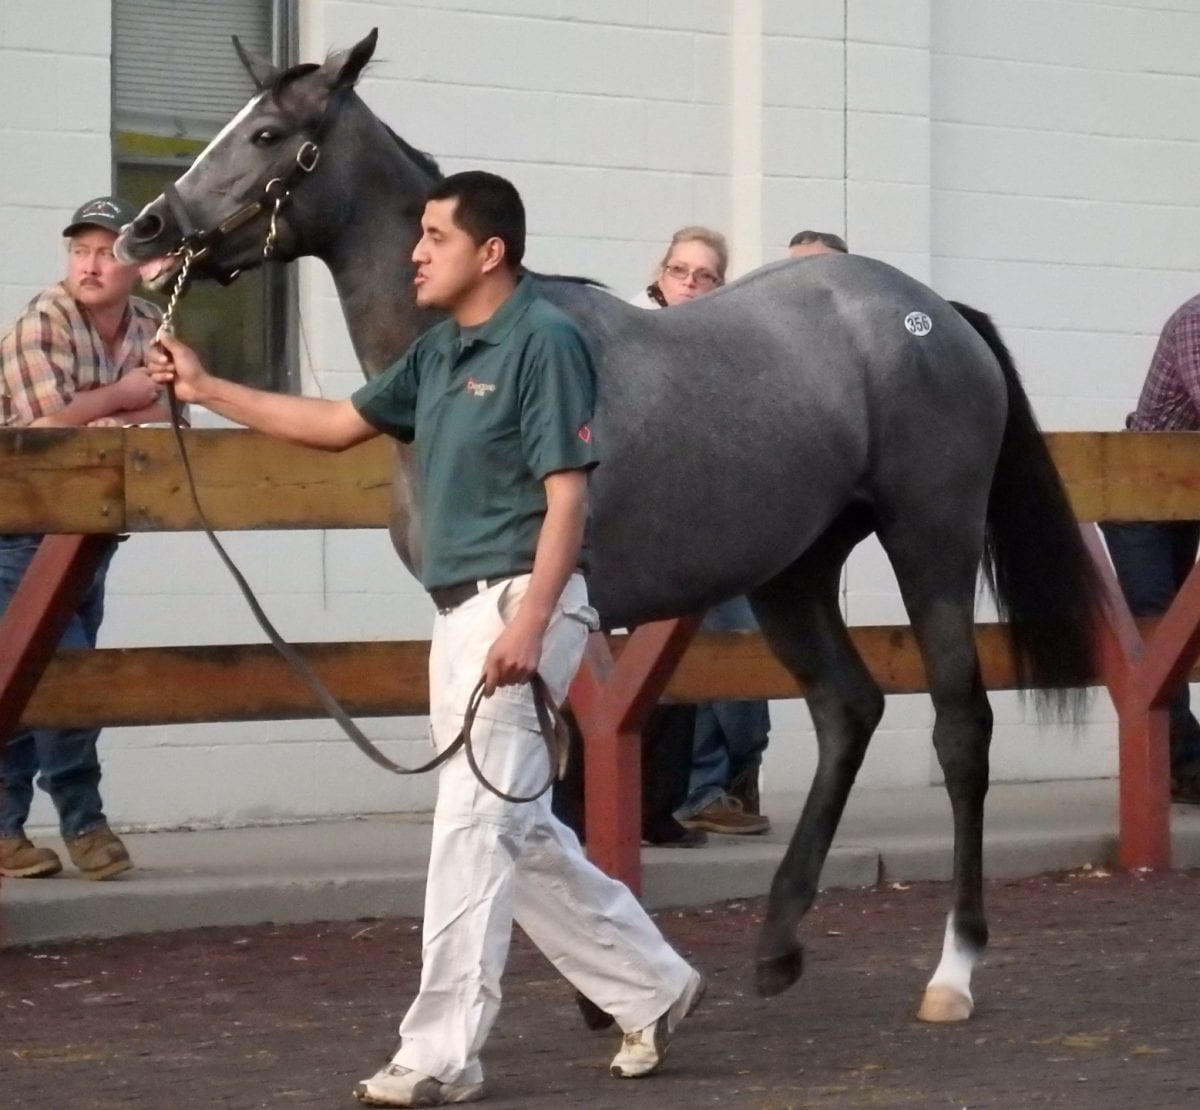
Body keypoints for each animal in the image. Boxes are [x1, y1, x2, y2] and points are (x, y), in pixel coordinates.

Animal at [117, 30, 1099, 1022]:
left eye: (268, 133)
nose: (145, 230)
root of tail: (934, 313)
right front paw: (611, 983)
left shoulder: (553, 618)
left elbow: (554, 790)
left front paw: (605, 991)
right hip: (792, 571)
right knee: (846, 709)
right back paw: (778, 945)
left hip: (930, 537)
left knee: (960, 728)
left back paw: (954, 968)